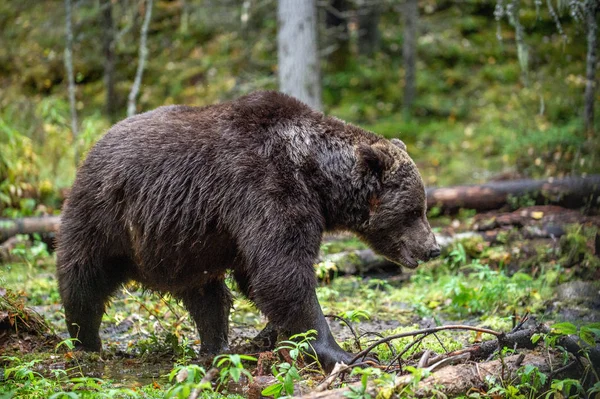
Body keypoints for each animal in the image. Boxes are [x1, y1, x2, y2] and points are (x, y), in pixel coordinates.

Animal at [56, 91, 440, 372]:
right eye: (414, 210)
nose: (432, 248)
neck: (316, 176)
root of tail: (95, 144)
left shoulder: (244, 220)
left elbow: (256, 277)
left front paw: (273, 336)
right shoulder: (264, 188)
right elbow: (282, 273)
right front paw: (344, 353)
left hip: (186, 246)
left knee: (208, 297)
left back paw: (215, 346)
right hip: (104, 215)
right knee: (83, 277)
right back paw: (85, 340)